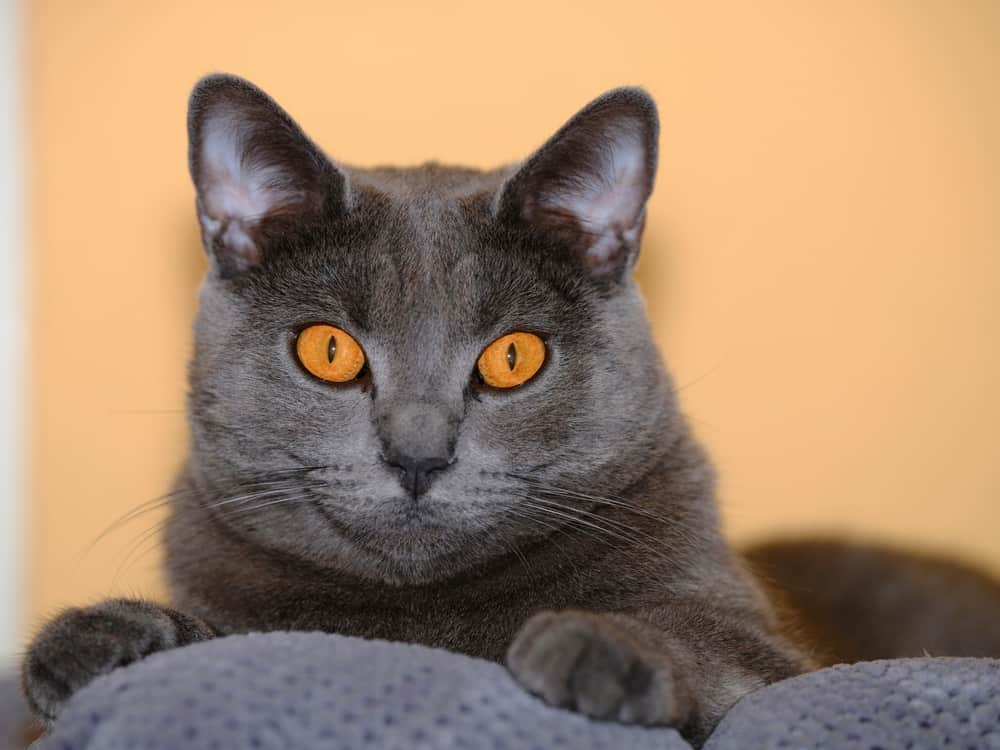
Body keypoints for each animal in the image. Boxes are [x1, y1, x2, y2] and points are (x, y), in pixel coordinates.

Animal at [23, 75, 1000, 748]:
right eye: (329, 351)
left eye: (512, 356)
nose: (419, 453)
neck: (425, 625)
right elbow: (236, 640)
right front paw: (104, 641)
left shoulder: (772, 661)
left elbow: (719, 656)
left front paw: (598, 648)